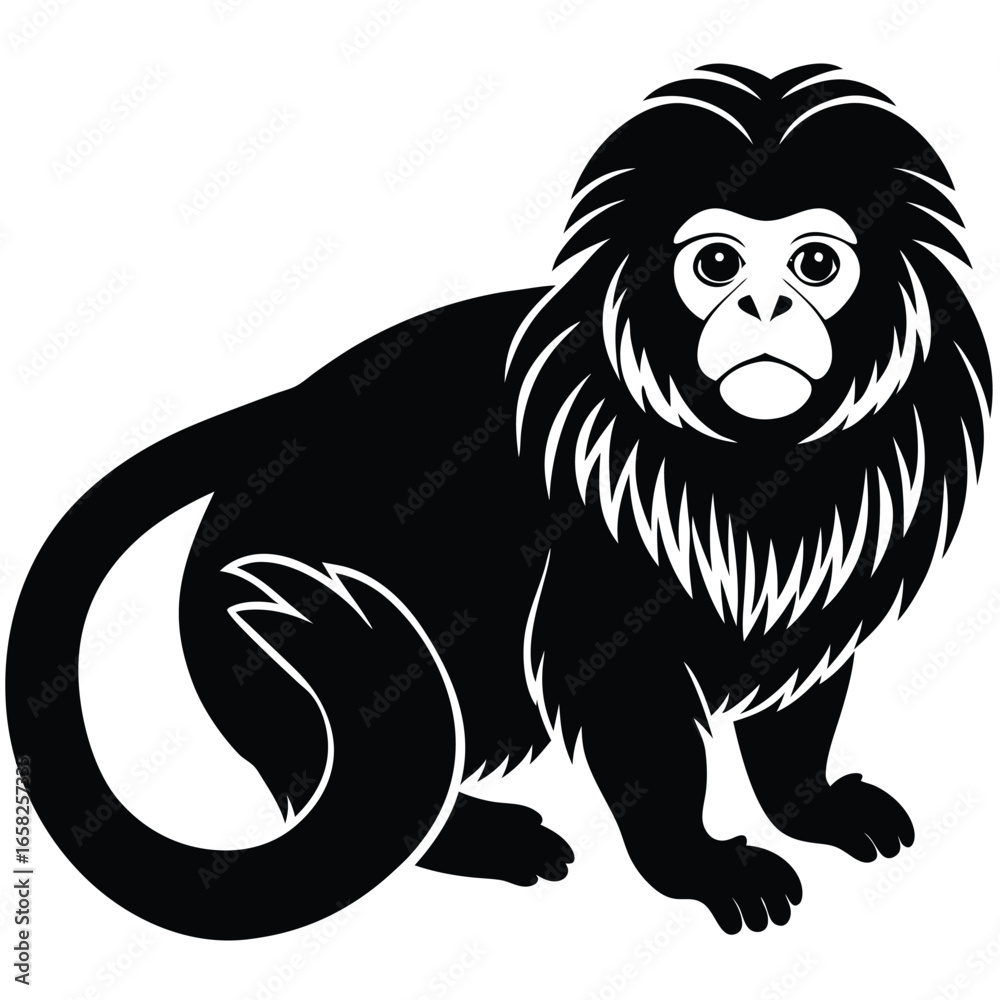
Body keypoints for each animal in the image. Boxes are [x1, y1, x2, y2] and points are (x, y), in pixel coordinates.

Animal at [6, 64, 990, 938]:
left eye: (816, 263)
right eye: (716, 263)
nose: (765, 307)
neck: (748, 460)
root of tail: (277, 418)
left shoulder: (834, 554)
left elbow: (795, 710)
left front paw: (812, 807)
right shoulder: (603, 568)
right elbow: (637, 717)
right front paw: (701, 866)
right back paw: (477, 836)